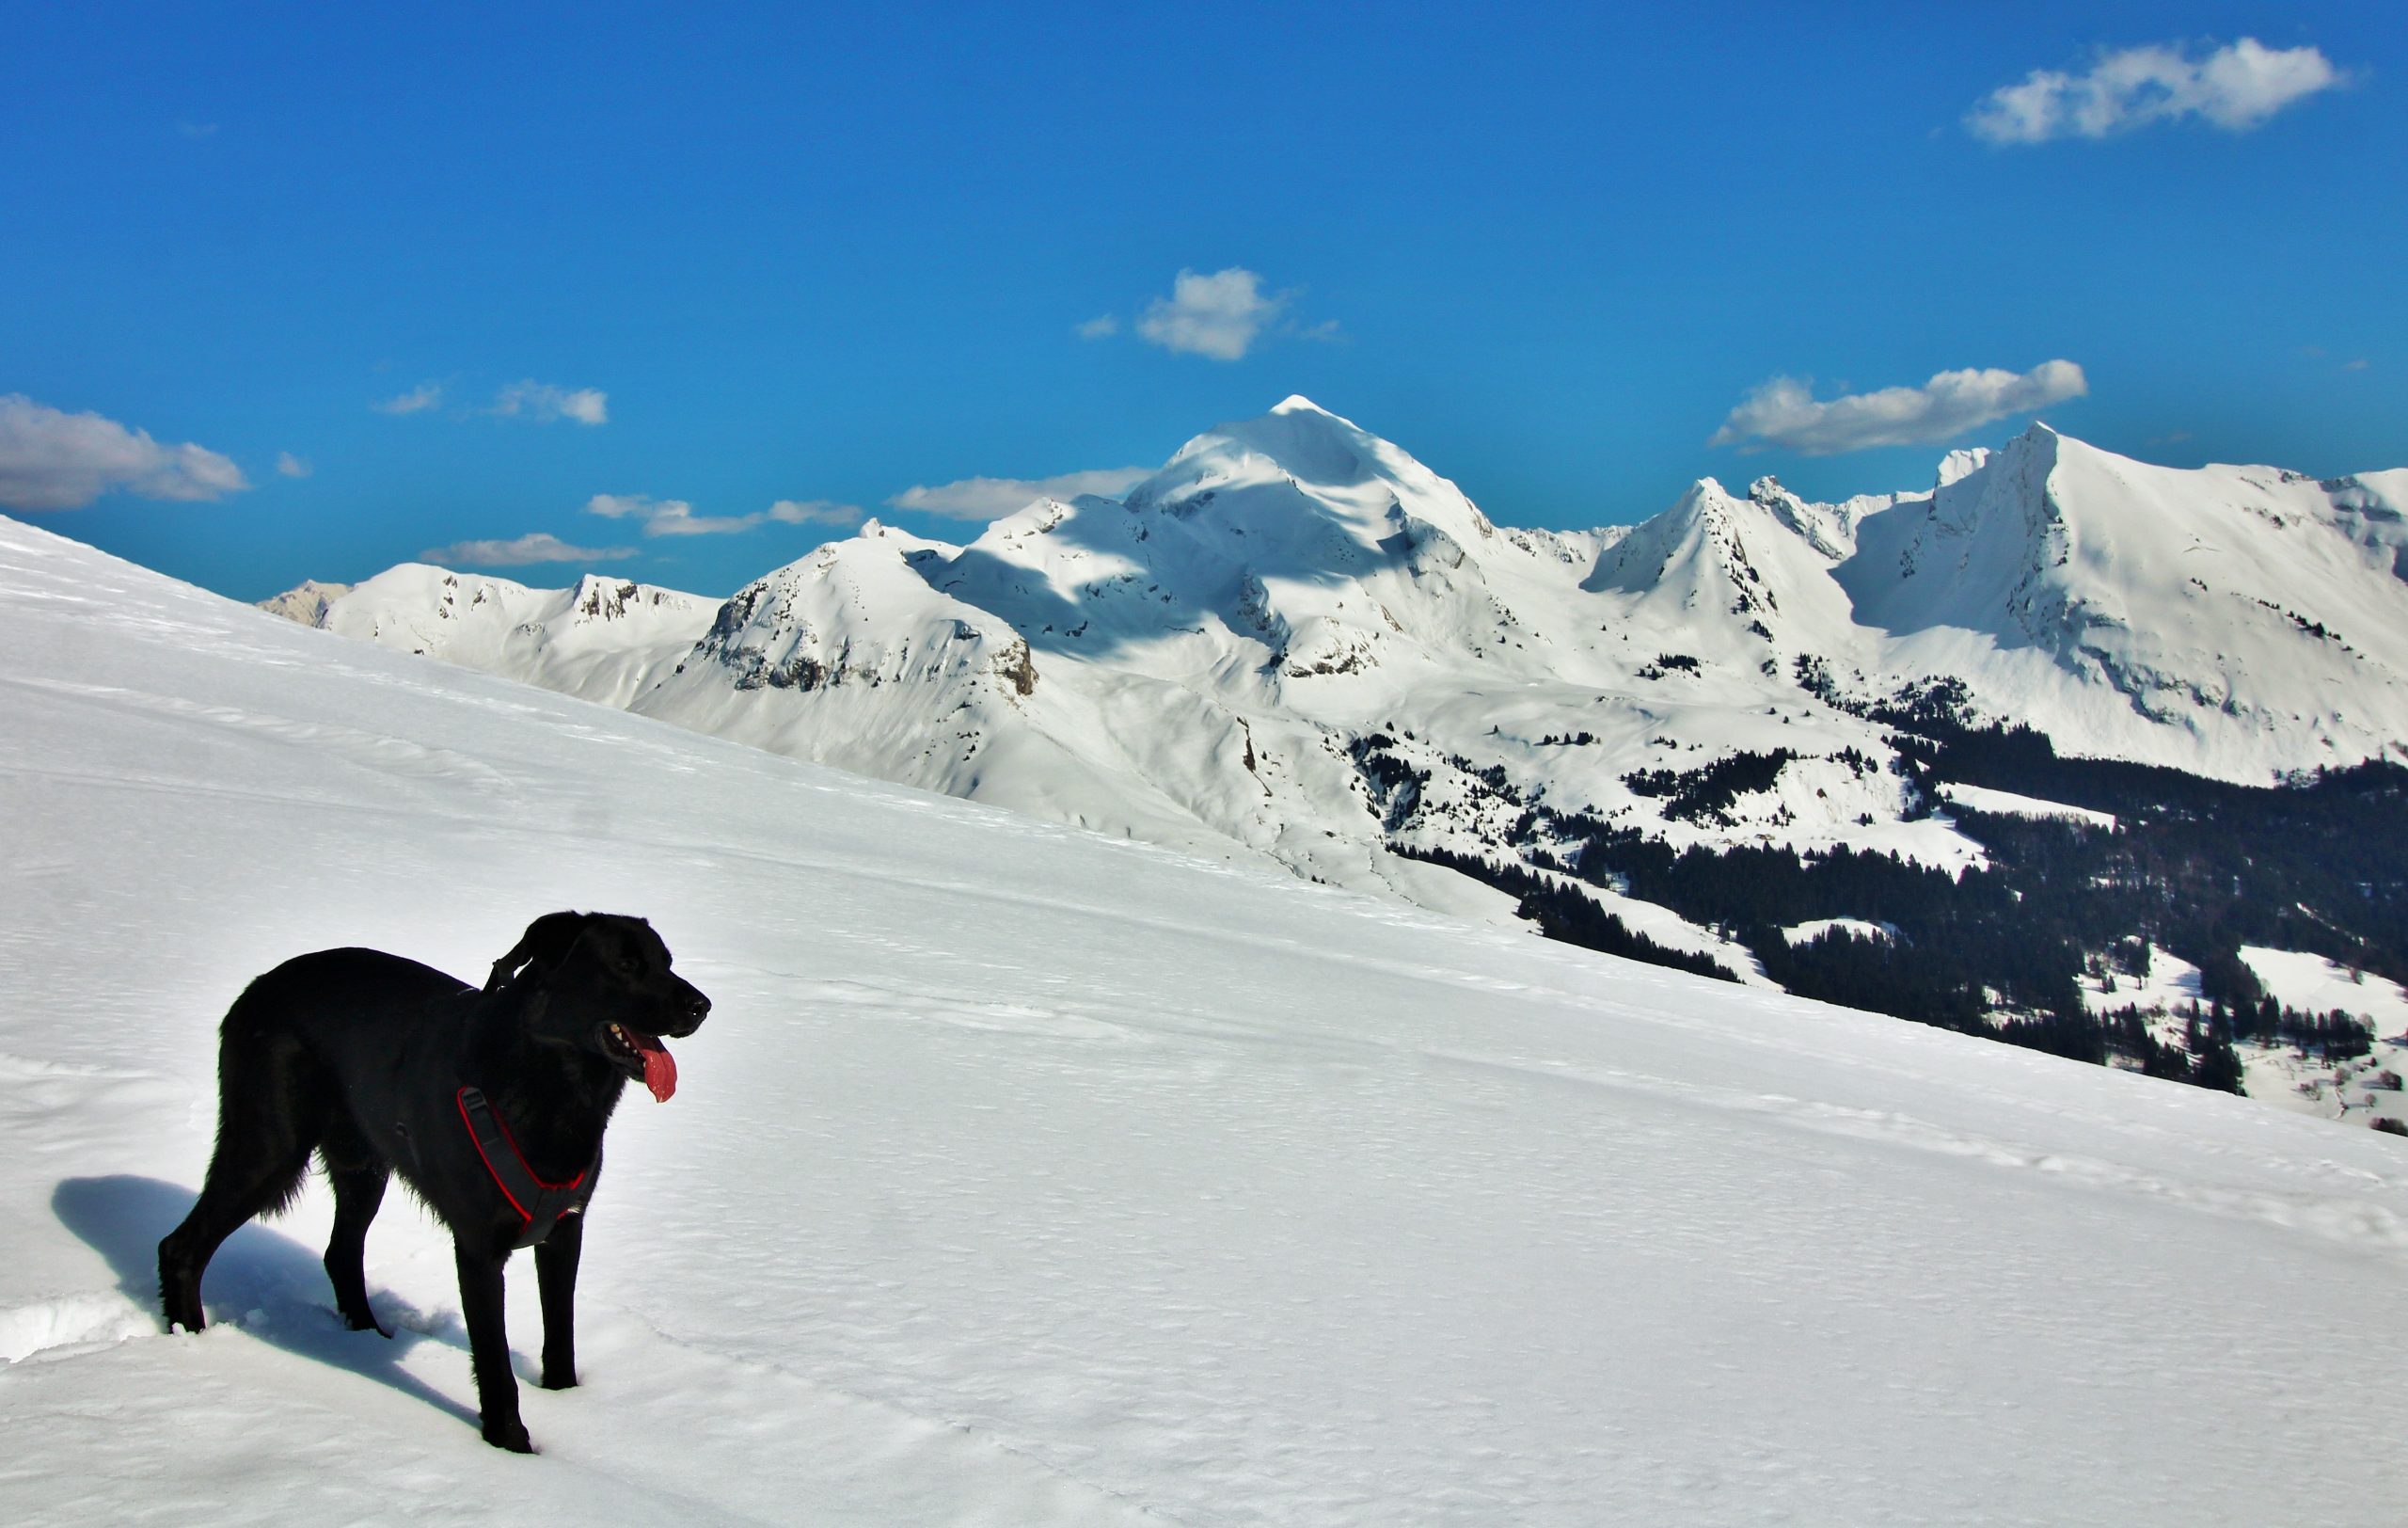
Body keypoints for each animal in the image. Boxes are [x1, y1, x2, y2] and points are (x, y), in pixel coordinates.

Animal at [158, 911, 711, 1452]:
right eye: (626, 964)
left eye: (667, 961)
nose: (702, 1006)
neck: (549, 1078)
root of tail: (257, 987)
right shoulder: (479, 1248)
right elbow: (495, 1363)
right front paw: (510, 1445)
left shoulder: (563, 1232)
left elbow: (561, 1335)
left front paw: (568, 1403)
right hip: (268, 1149)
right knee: (180, 1246)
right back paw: (191, 1347)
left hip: (364, 1168)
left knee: (340, 1253)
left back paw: (365, 1338)